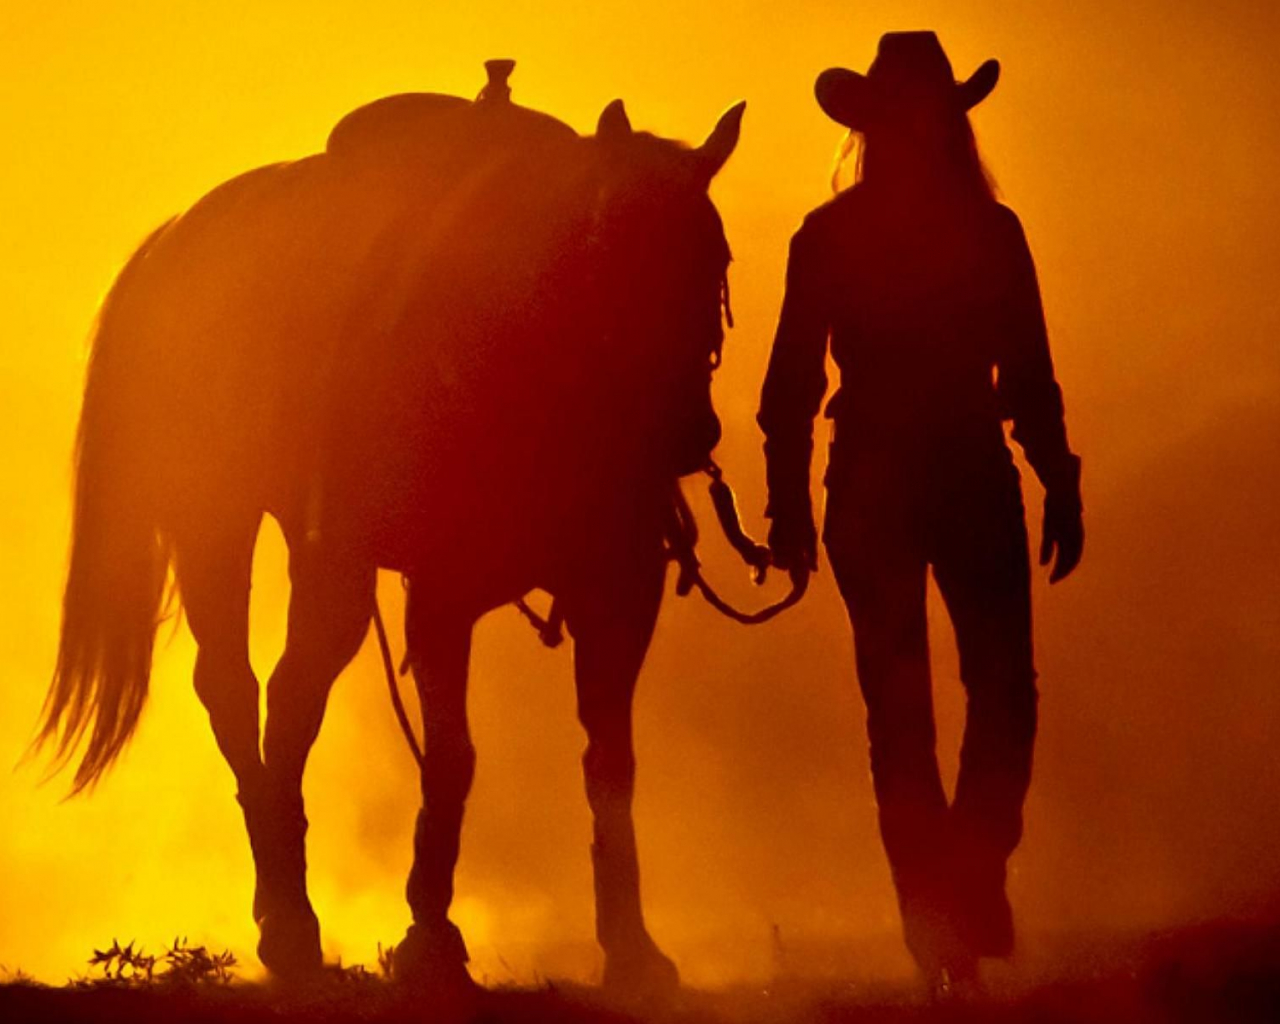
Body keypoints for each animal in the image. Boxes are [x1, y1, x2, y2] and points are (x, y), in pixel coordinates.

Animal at [36, 62, 745, 996]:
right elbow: (453, 757)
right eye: (607, 249)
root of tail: (179, 238)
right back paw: (290, 924)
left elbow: (610, 766)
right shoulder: (443, 593)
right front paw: (430, 938)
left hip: (328, 560)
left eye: (715, 258)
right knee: (236, 689)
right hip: (216, 523)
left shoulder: (620, 591)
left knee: (294, 692)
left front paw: (632, 948)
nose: (686, 433)